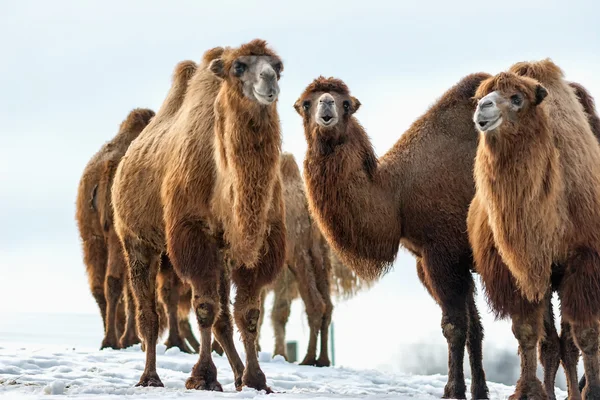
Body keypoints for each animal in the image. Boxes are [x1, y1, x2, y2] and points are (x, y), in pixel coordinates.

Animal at [112, 39, 286, 392]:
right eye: (238, 67)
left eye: (279, 67)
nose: (269, 81)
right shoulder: (192, 231)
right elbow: (204, 308)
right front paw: (202, 377)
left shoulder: (262, 240)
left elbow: (248, 313)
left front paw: (256, 380)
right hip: (136, 239)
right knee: (149, 313)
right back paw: (149, 377)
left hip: (219, 253)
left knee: (224, 318)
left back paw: (236, 375)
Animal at [472, 59, 600, 400]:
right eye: (481, 94)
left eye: (517, 98)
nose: (483, 108)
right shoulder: (516, 269)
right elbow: (529, 333)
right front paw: (528, 391)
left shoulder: (585, 261)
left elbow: (587, 334)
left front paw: (593, 392)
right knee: (554, 343)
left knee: (570, 341)